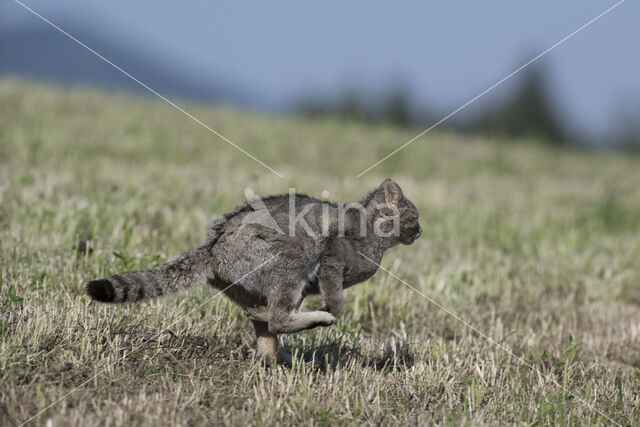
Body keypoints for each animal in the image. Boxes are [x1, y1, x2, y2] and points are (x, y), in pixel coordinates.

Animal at [87, 179, 422, 362]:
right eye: (415, 218)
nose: (421, 232)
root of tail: (212, 249)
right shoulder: (330, 259)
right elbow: (335, 297)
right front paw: (331, 310)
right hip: (296, 259)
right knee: (278, 320)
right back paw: (313, 321)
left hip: (263, 287)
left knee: (268, 335)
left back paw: (281, 350)